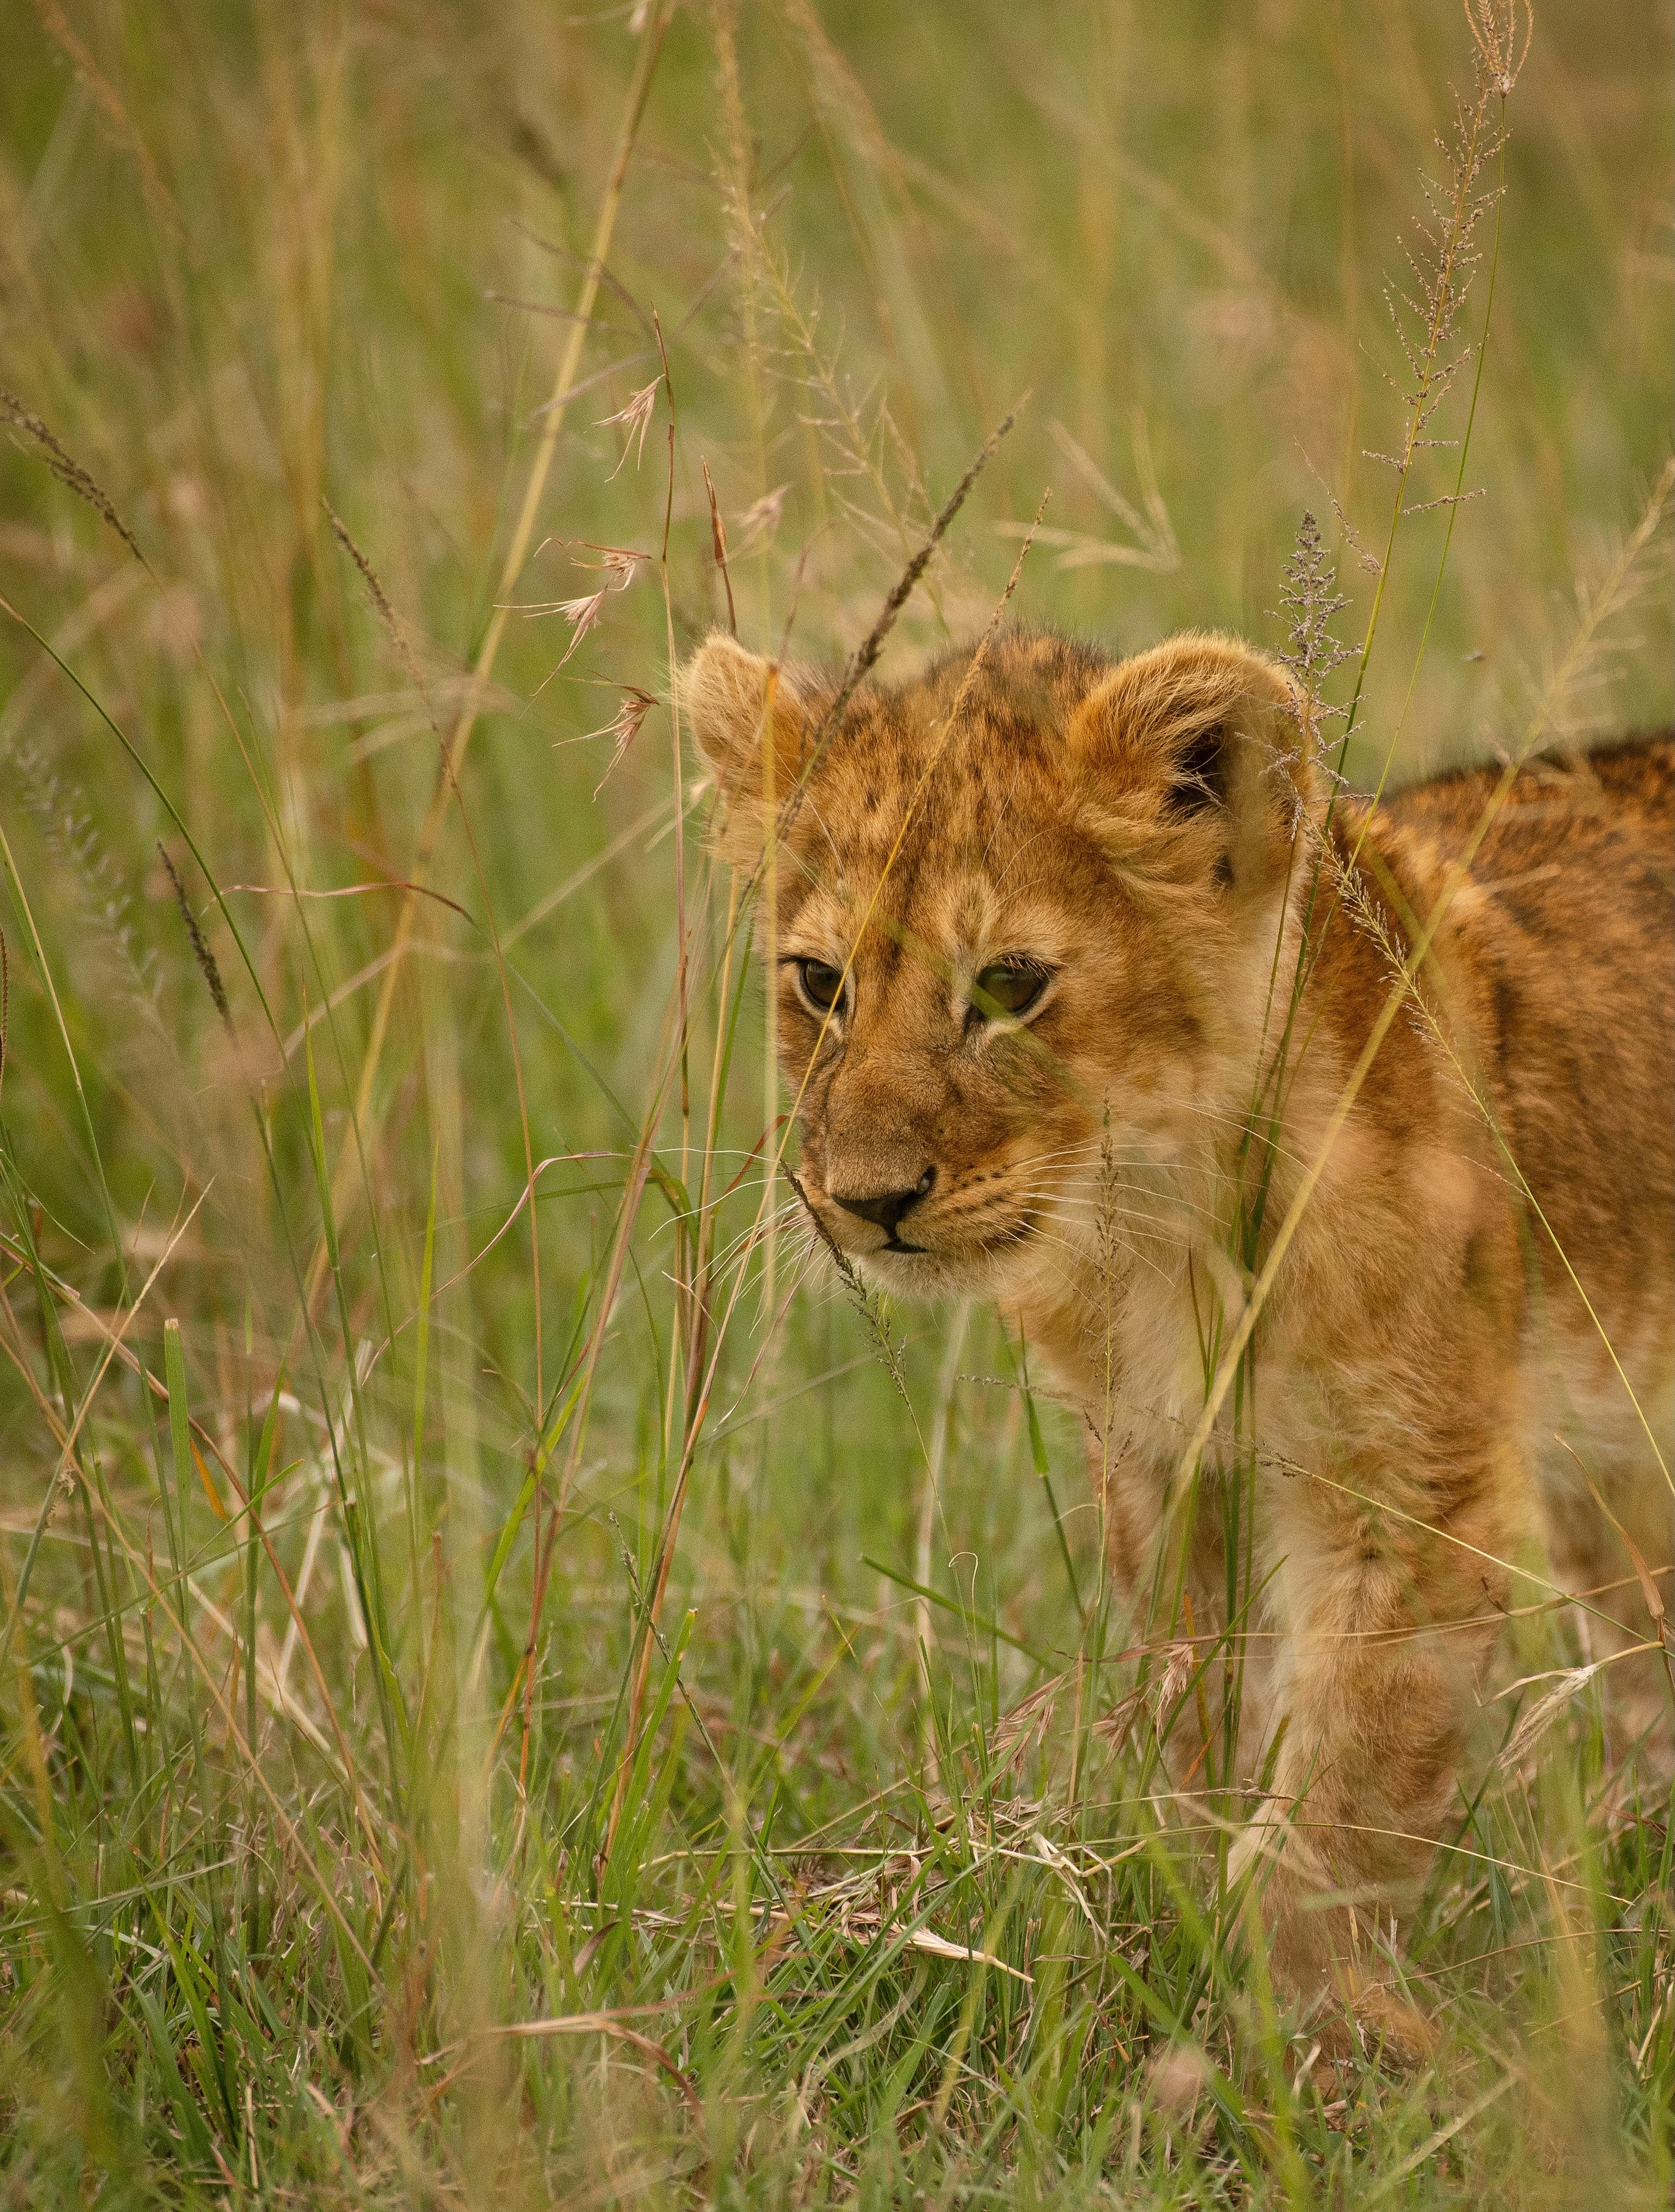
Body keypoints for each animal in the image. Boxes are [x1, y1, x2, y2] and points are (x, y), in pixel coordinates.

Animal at [684, 624, 1674, 2047]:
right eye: (820, 983)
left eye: (1006, 986)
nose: (866, 1201)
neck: (1159, 1228)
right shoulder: (1167, 1470)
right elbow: (1195, 1731)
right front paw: (1191, 1949)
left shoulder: (1415, 1492)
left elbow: (1350, 1779)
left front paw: (1304, 2025)